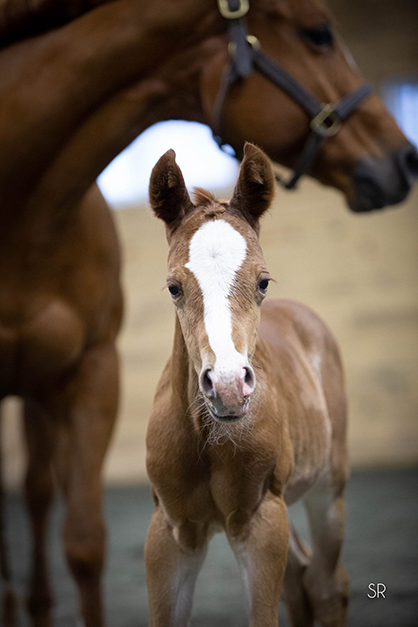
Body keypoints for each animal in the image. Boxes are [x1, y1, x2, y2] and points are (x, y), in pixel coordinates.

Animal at [145, 142, 348, 627]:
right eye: (173, 287)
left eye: (263, 281)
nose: (228, 385)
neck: (208, 438)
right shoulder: (170, 532)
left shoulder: (261, 520)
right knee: (302, 582)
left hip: (328, 489)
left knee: (326, 585)